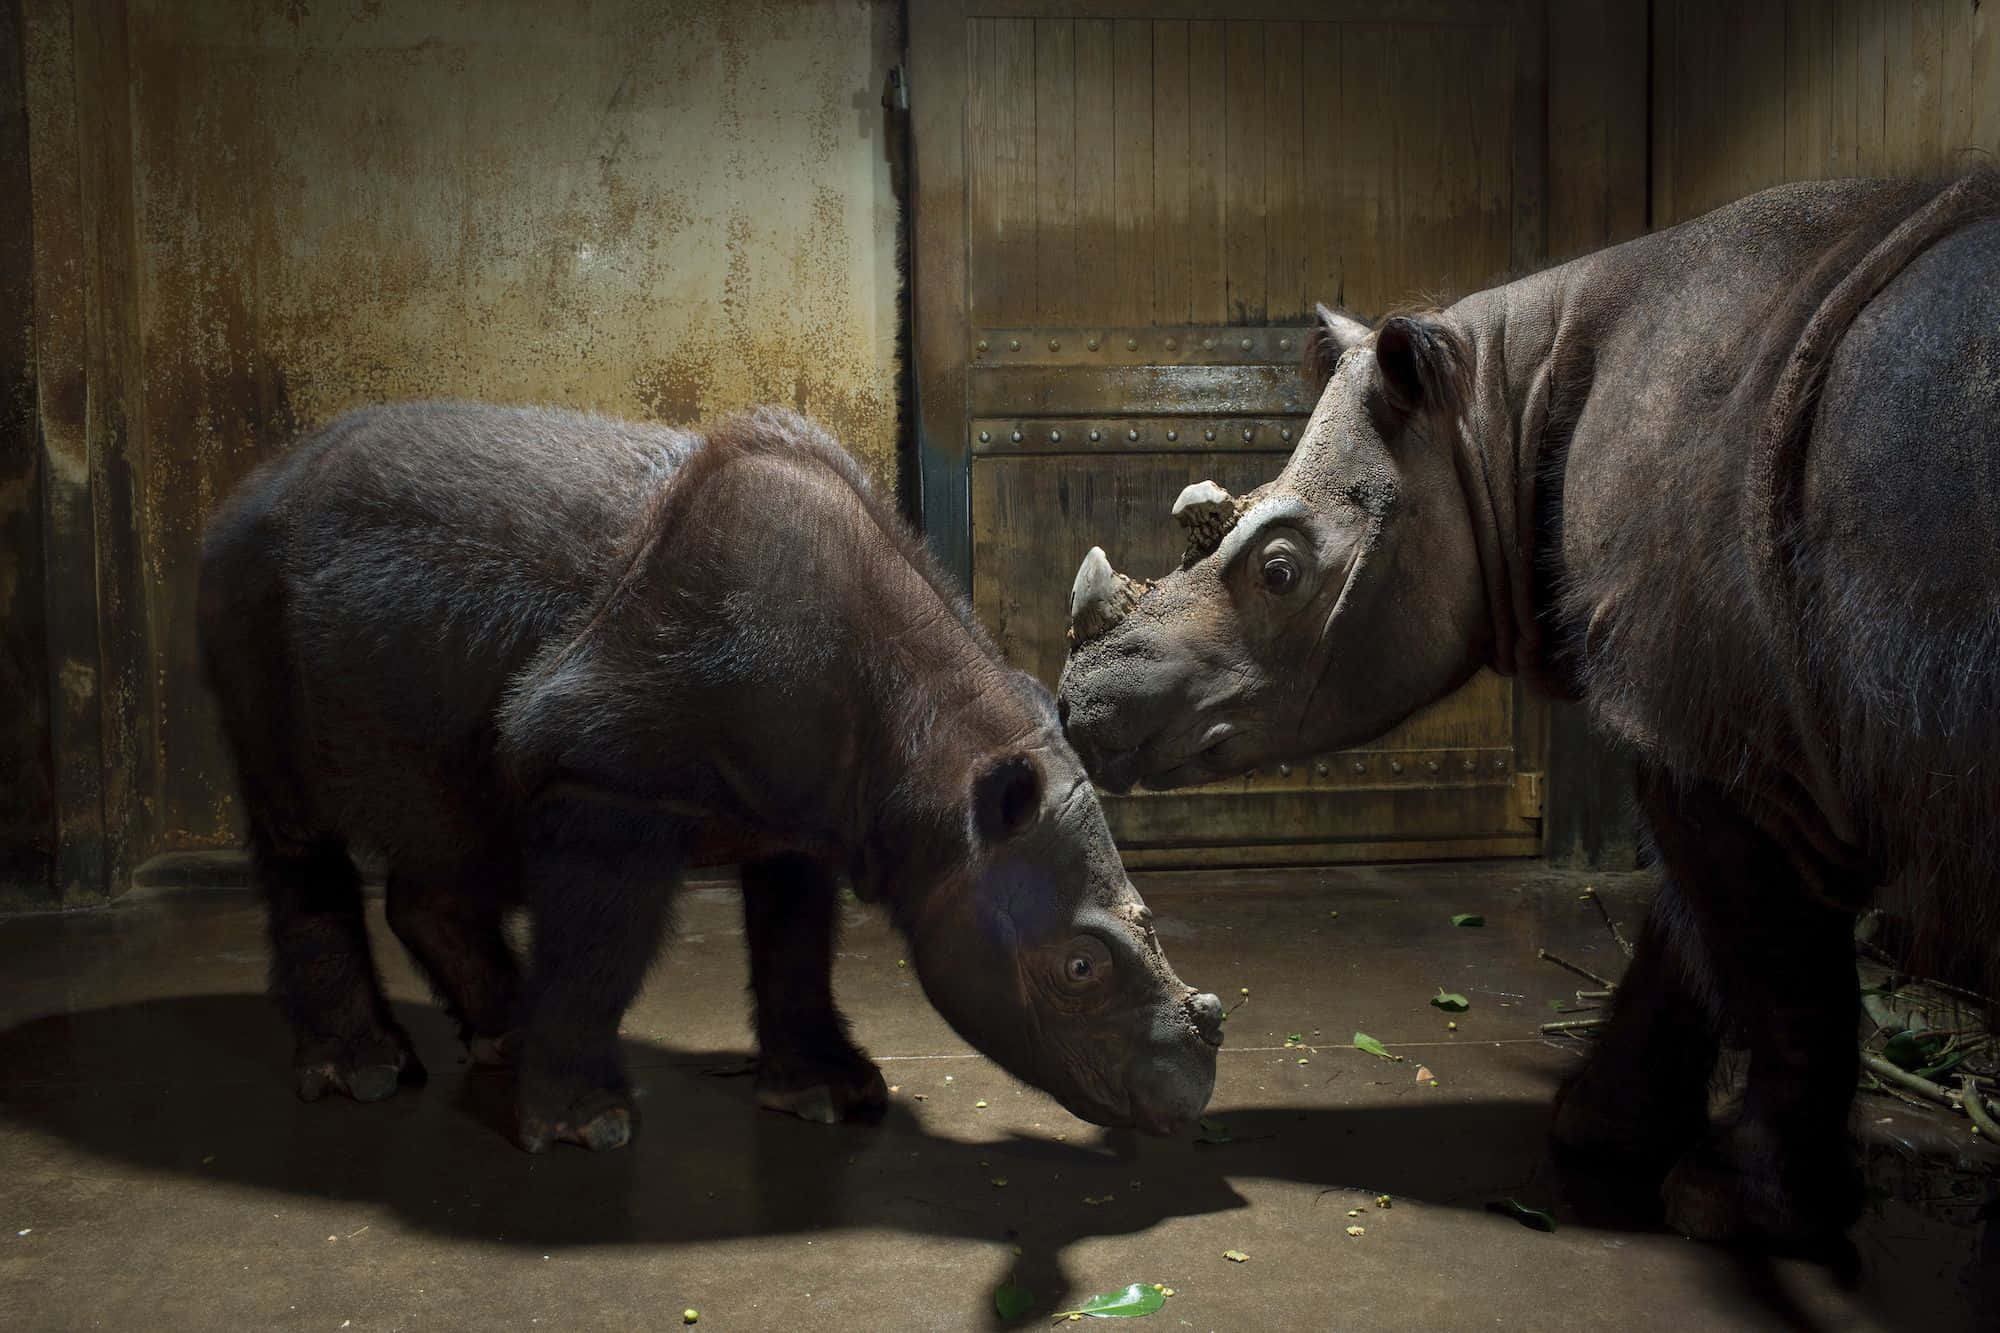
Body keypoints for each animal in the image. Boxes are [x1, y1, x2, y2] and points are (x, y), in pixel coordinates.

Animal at [199, 402, 1221, 1152]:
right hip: (244, 583)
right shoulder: (604, 773)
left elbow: (797, 944)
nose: (1194, 1089)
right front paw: (583, 1128)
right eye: (1081, 966)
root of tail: (251, 480)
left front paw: (831, 1095)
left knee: (453, 819)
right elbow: (601, 945)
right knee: (296, 822)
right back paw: (366, 1074)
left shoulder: (809, 806)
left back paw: (497, 1038)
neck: (936, 759)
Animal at [1059, 171, 2000, 1248]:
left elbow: (1772, 960)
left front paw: (1728, 1203)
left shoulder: (1718, 728)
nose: (1076, 705)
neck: (1493, 409)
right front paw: (1599, 1128)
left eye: (1281, 571)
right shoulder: (1701, 713)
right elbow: (1693, 933)